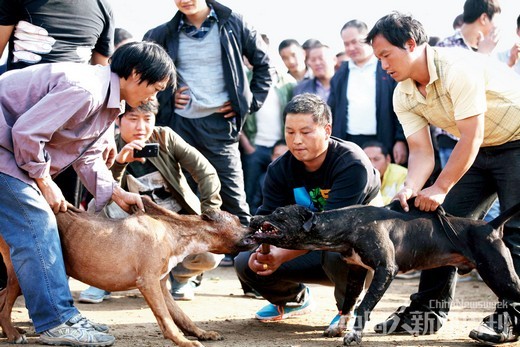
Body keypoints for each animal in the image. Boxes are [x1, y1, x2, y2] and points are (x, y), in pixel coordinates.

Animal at [0, 197, 254, 347]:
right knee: (5, 304)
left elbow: (181, 315)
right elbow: (166, 318)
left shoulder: (160, 285)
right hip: (23, 272)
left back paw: (8, 331)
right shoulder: (148, 283)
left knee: (2, 298)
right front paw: (183, 341)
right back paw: (12, 334)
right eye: (237, 219)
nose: (256, 222)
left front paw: (201, 333)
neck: (174, 231)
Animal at [248, 201, 520, 346]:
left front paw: (354, 335)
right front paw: (340, 327)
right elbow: (349, 302)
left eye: (280, 213)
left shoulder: (385, 271)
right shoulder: (356, 271)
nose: (254, 217)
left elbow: (363, 306)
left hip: (499, 275)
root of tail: (490, 226)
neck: (348, 225)